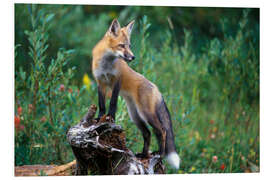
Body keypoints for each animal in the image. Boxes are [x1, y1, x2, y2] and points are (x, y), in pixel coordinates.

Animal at [92, 19, 180, 168]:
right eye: (122, 45)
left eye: (129, 45)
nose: (133, 57)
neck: (106, 64)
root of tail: (157, 89)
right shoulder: (100, 82)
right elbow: (102, 104)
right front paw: (99, 118)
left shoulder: (117, 81)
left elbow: (113, 102)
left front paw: (111, 118)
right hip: (135, 116)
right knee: (148, 133)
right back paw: (144, 155)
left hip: (146, 113)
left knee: (162, 131)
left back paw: (160, 154)